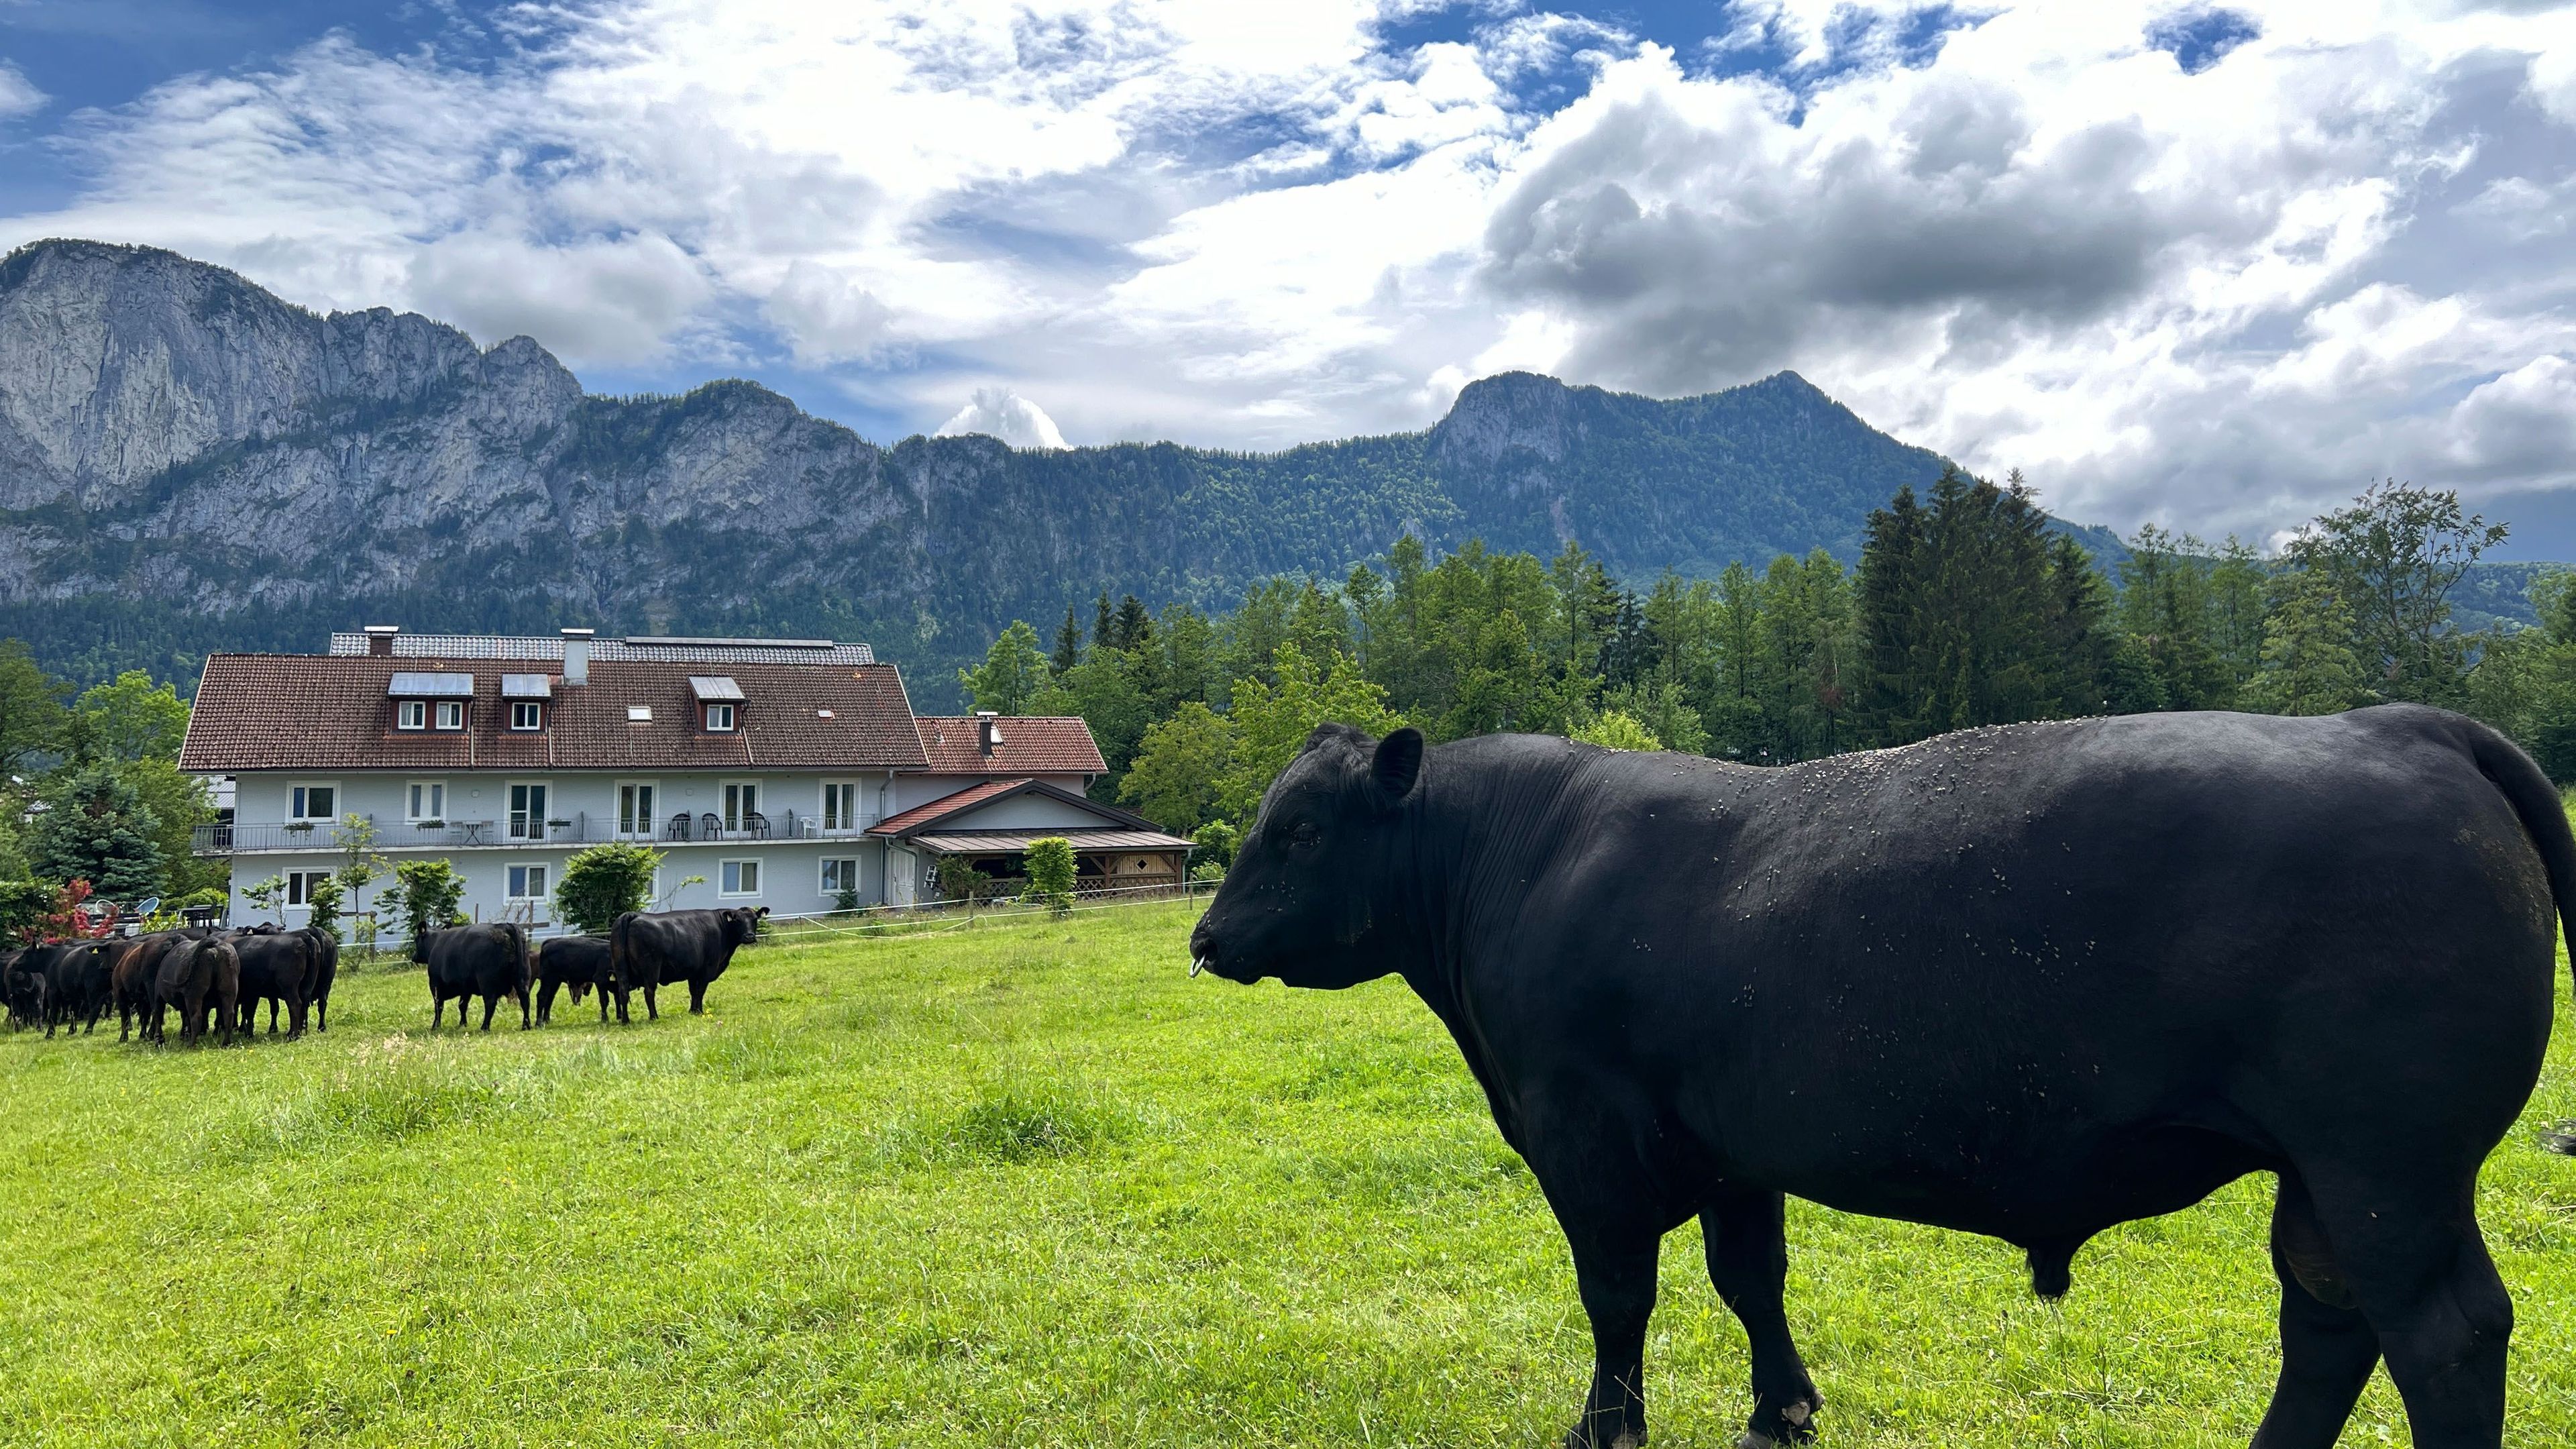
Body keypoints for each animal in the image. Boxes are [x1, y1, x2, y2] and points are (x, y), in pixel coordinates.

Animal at [415, 923, 531, 1030]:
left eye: (416, 940)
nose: (413, 956)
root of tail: (505, 926)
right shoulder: (465, 988)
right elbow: (462, 1005)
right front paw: (463, 1024)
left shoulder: (435, 984)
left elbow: (439, 1006)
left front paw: (436, 1026)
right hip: (523, 979)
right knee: (525, 1000)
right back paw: (526, 1025)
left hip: (487, 983)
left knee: (490, 1003)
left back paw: (485, 1027)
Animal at [535, 935, 618, 1024]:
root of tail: (549, 942)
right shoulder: (600, 979)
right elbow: (604, 1000)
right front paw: (605, 1020)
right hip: (547, 979)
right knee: (542, 996)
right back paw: (539, 1023)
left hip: (555, 981)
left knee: (550, 997)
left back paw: (547, 1021)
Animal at [609, 907, 766, 1019]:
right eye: (737, 920)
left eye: (755, 919)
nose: (749, 936)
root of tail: (633, 915)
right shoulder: (707, 969)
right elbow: (700, 990)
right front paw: (699, 1011)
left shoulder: (693, 972)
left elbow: (693, 991)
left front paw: (693, 1011)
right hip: (651, 969)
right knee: (649, 992)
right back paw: (654, 1017)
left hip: (621, 969)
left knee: (623, 992)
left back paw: (625, 1020)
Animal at [1187, 708, 2576, 1449]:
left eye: (1297, 829)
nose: (1204, 936)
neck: (1517, 858)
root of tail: (2393, 721)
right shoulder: (1726, 1144)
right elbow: (1750, 1280)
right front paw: (1783, 1411)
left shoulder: (1584, 1138)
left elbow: (1617, 1297)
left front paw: (1607, 1425)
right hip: (2332, 1176)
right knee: (2329, 1322)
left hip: (2386, 1165)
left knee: (2441, 1334)